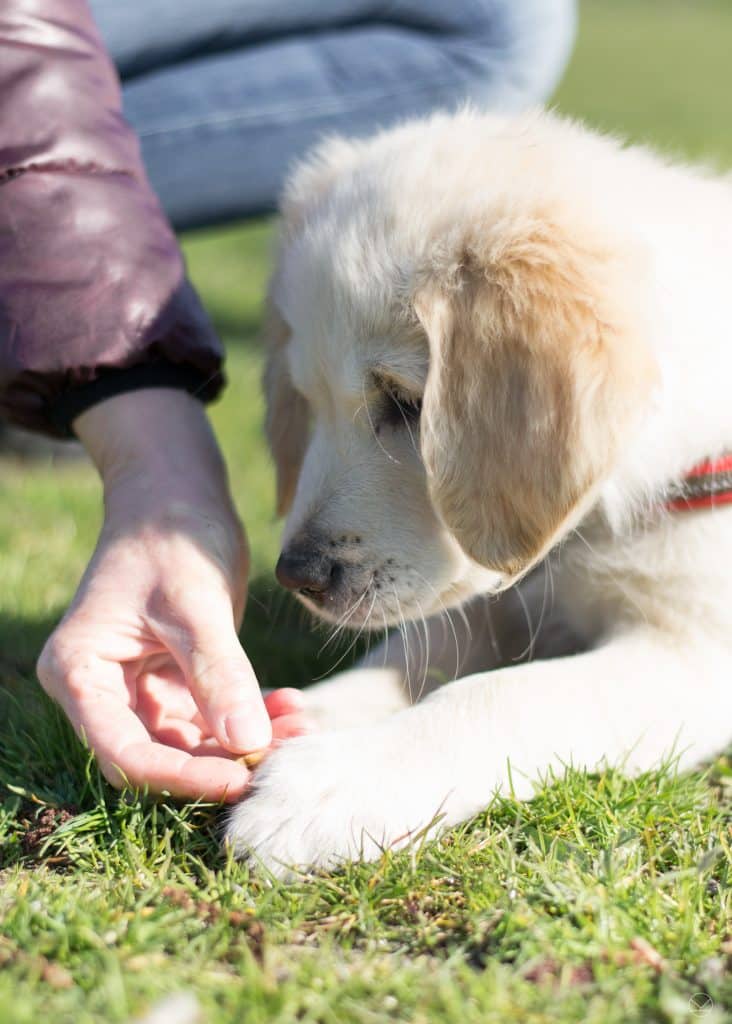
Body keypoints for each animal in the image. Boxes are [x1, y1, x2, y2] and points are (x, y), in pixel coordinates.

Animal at [227, 108, 732, 876]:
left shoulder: (695, 649)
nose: (298, 576)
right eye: (309, 400)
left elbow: (509, 692)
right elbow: (408, 653)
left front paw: (333, 785)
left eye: (408, 403)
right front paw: (316, 713)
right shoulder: (494, 597)